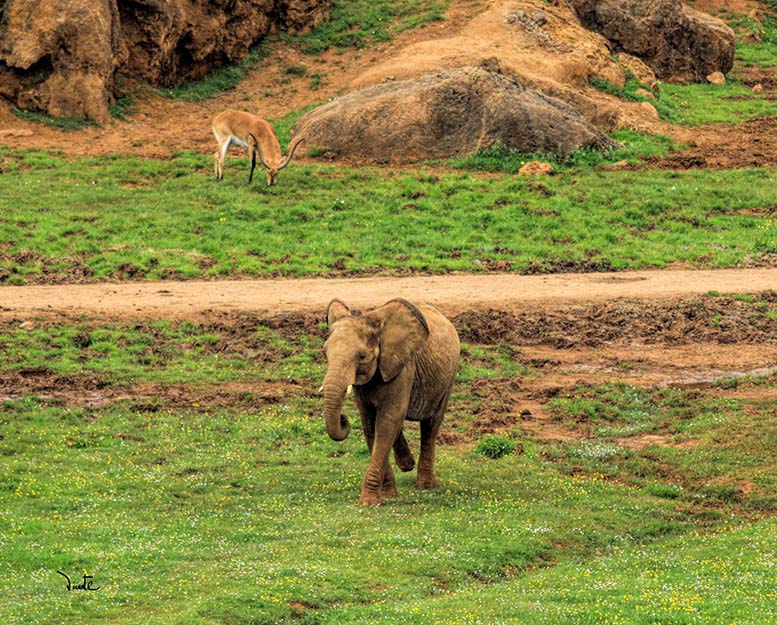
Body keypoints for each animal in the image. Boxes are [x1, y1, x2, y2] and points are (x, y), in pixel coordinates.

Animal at [322, 298, 460, 505]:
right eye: (325, 353)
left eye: (362, 357)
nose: (344, 419)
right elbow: (371, 424)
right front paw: (387, 495)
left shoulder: (402, 367)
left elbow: (387, 421)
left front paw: (369, 502)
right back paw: (407, 464)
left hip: (448, 376)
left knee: (431, 423)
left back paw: (425, 484)